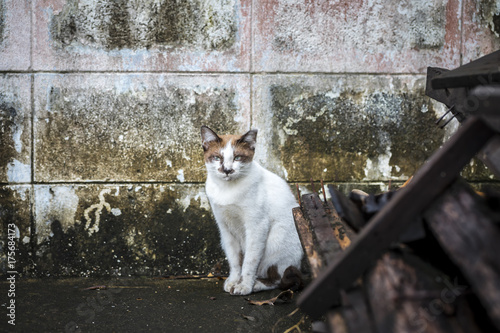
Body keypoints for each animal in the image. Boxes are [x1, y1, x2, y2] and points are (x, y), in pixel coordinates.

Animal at [200, 126, 302, 294]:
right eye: (216, 158)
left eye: (237, 158)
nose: (227, 170)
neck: (227, 190)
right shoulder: (226, 229)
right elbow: (235, 260)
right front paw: (233, 281)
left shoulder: (257, 226)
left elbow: (249, 261)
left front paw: (244, 286)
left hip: (274, 243)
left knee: (279, 279)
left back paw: (257, 284)